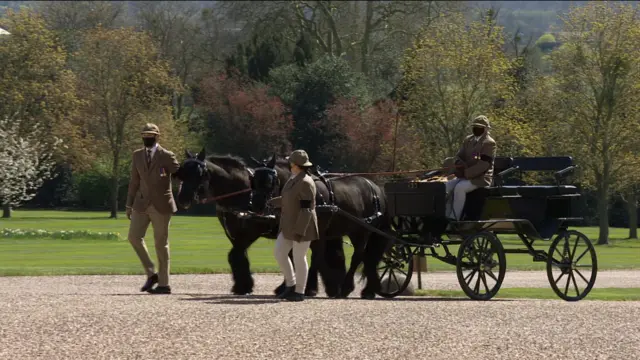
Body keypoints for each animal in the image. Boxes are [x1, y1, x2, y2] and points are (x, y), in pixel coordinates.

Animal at [174, 149, 344, 298]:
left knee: (316, 257)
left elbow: (235, 254)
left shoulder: (251, 232)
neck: (241, 194)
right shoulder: (234, 234)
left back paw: (309, 288)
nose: (182, 199)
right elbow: (237, 256)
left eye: (200, 173)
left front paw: (244, 286)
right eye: (182, 172)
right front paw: (242, 286)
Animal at [249, 153, 390, 296]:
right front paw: (288, 286)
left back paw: (347, 288)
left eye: (270, 181)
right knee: (367, 258)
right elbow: (292, 256)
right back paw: (368, 290)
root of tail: (376, 188)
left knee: (358, 256)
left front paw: (310, 287)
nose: (256, 205)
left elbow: (315, 257)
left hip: (362, 231)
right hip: (355, 231)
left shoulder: (319, 234)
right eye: (254, 179)